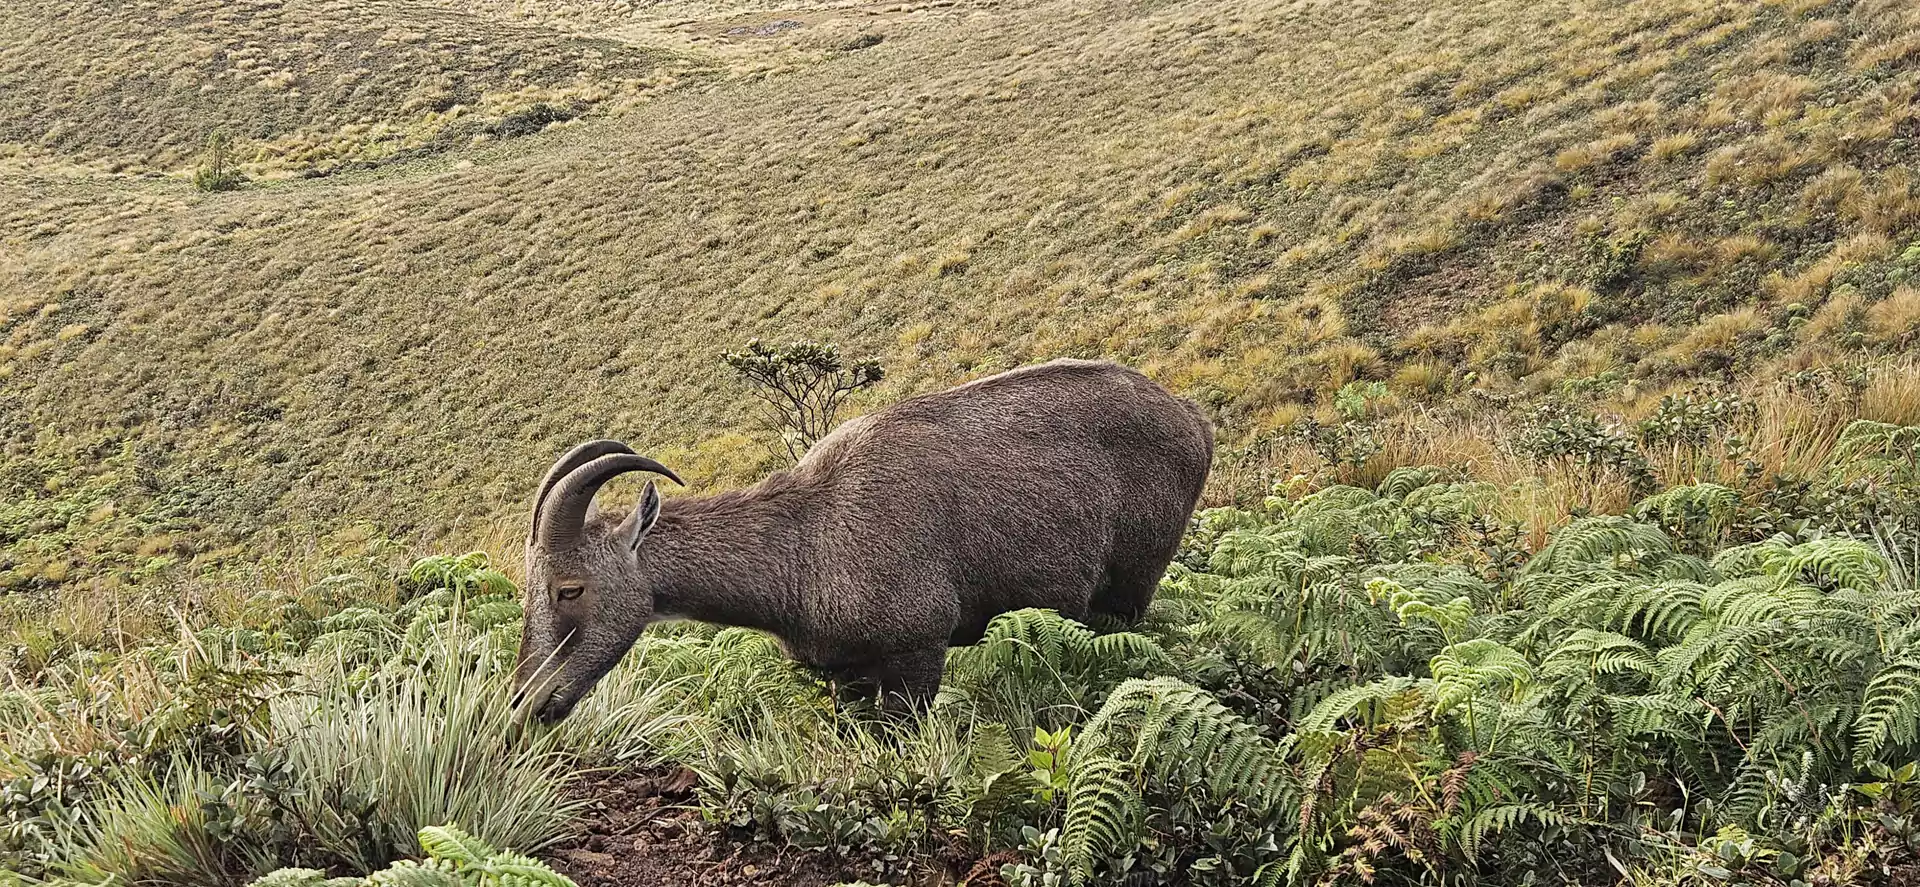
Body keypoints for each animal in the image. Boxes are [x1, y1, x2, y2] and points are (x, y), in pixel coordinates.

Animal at [511, 358, 1213, 723]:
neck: (806, 542)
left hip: (1131, 585)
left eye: (569, 587)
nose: (527, 704)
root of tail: (1193, 420)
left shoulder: (918, 650)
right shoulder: (843, 674)